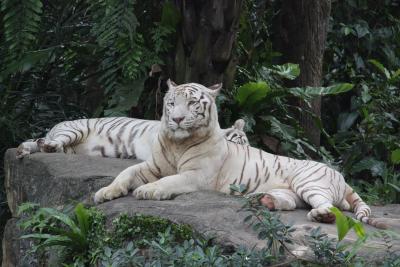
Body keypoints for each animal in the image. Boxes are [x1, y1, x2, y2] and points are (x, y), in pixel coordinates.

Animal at [94, 79, 384, 228]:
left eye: (192, 103)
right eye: (171, 103)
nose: (176, 119)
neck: (178, 143)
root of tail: (341, 177)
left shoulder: (195, 175)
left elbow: (168, 181)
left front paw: (148, 190)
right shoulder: (152, 165)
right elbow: (126, 172)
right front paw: (105, 192)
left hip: (309, 181)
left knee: (330, 206)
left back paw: (319, 215)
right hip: (290, 191)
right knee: (292, 202)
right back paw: (264, 200)